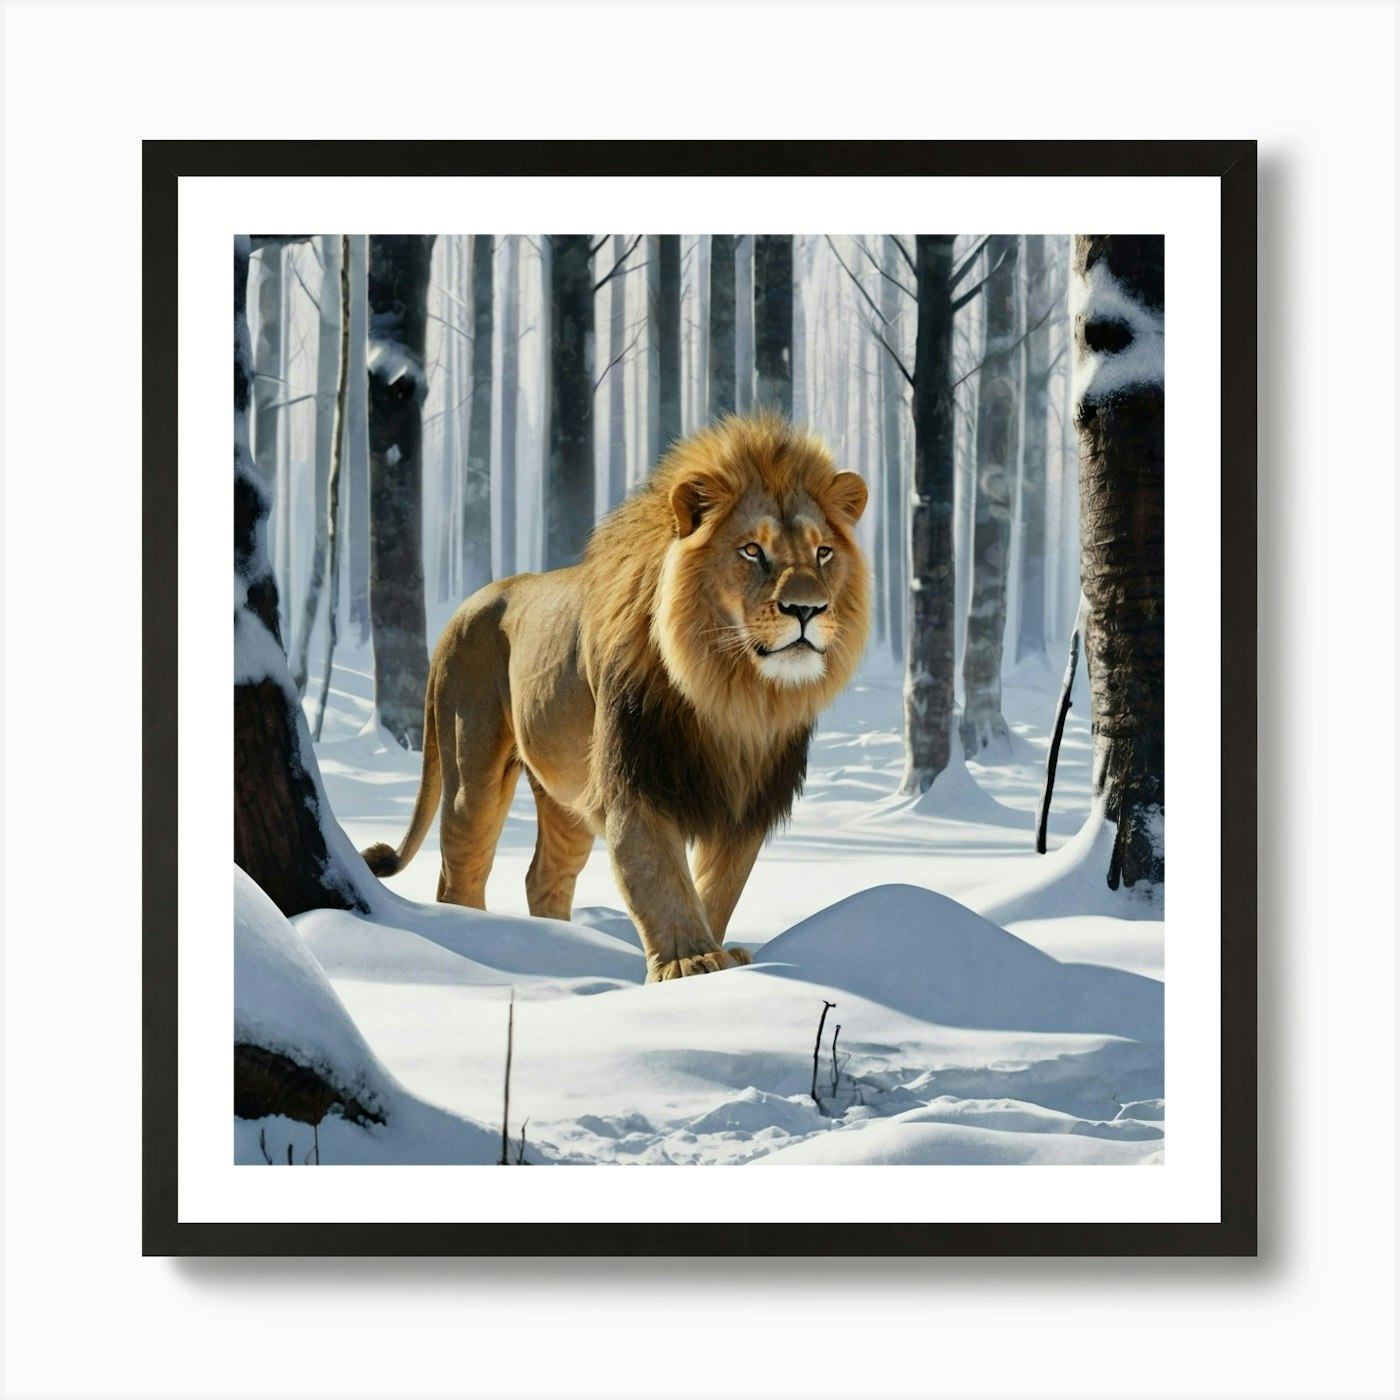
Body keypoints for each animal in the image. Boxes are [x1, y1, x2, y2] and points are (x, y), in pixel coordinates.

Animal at [361, 413, 870, 981]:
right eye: (752, 551)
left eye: (823, 552)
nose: (807, 608)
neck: (732, 692)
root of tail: (460, 611)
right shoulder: (633, 780)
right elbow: (659, 876)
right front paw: (690, 963)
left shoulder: (748, 798)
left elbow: (719, 885)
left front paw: (722, 957)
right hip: (471, 770)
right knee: (460, 874)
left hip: (565, 790)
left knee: (545, 876)